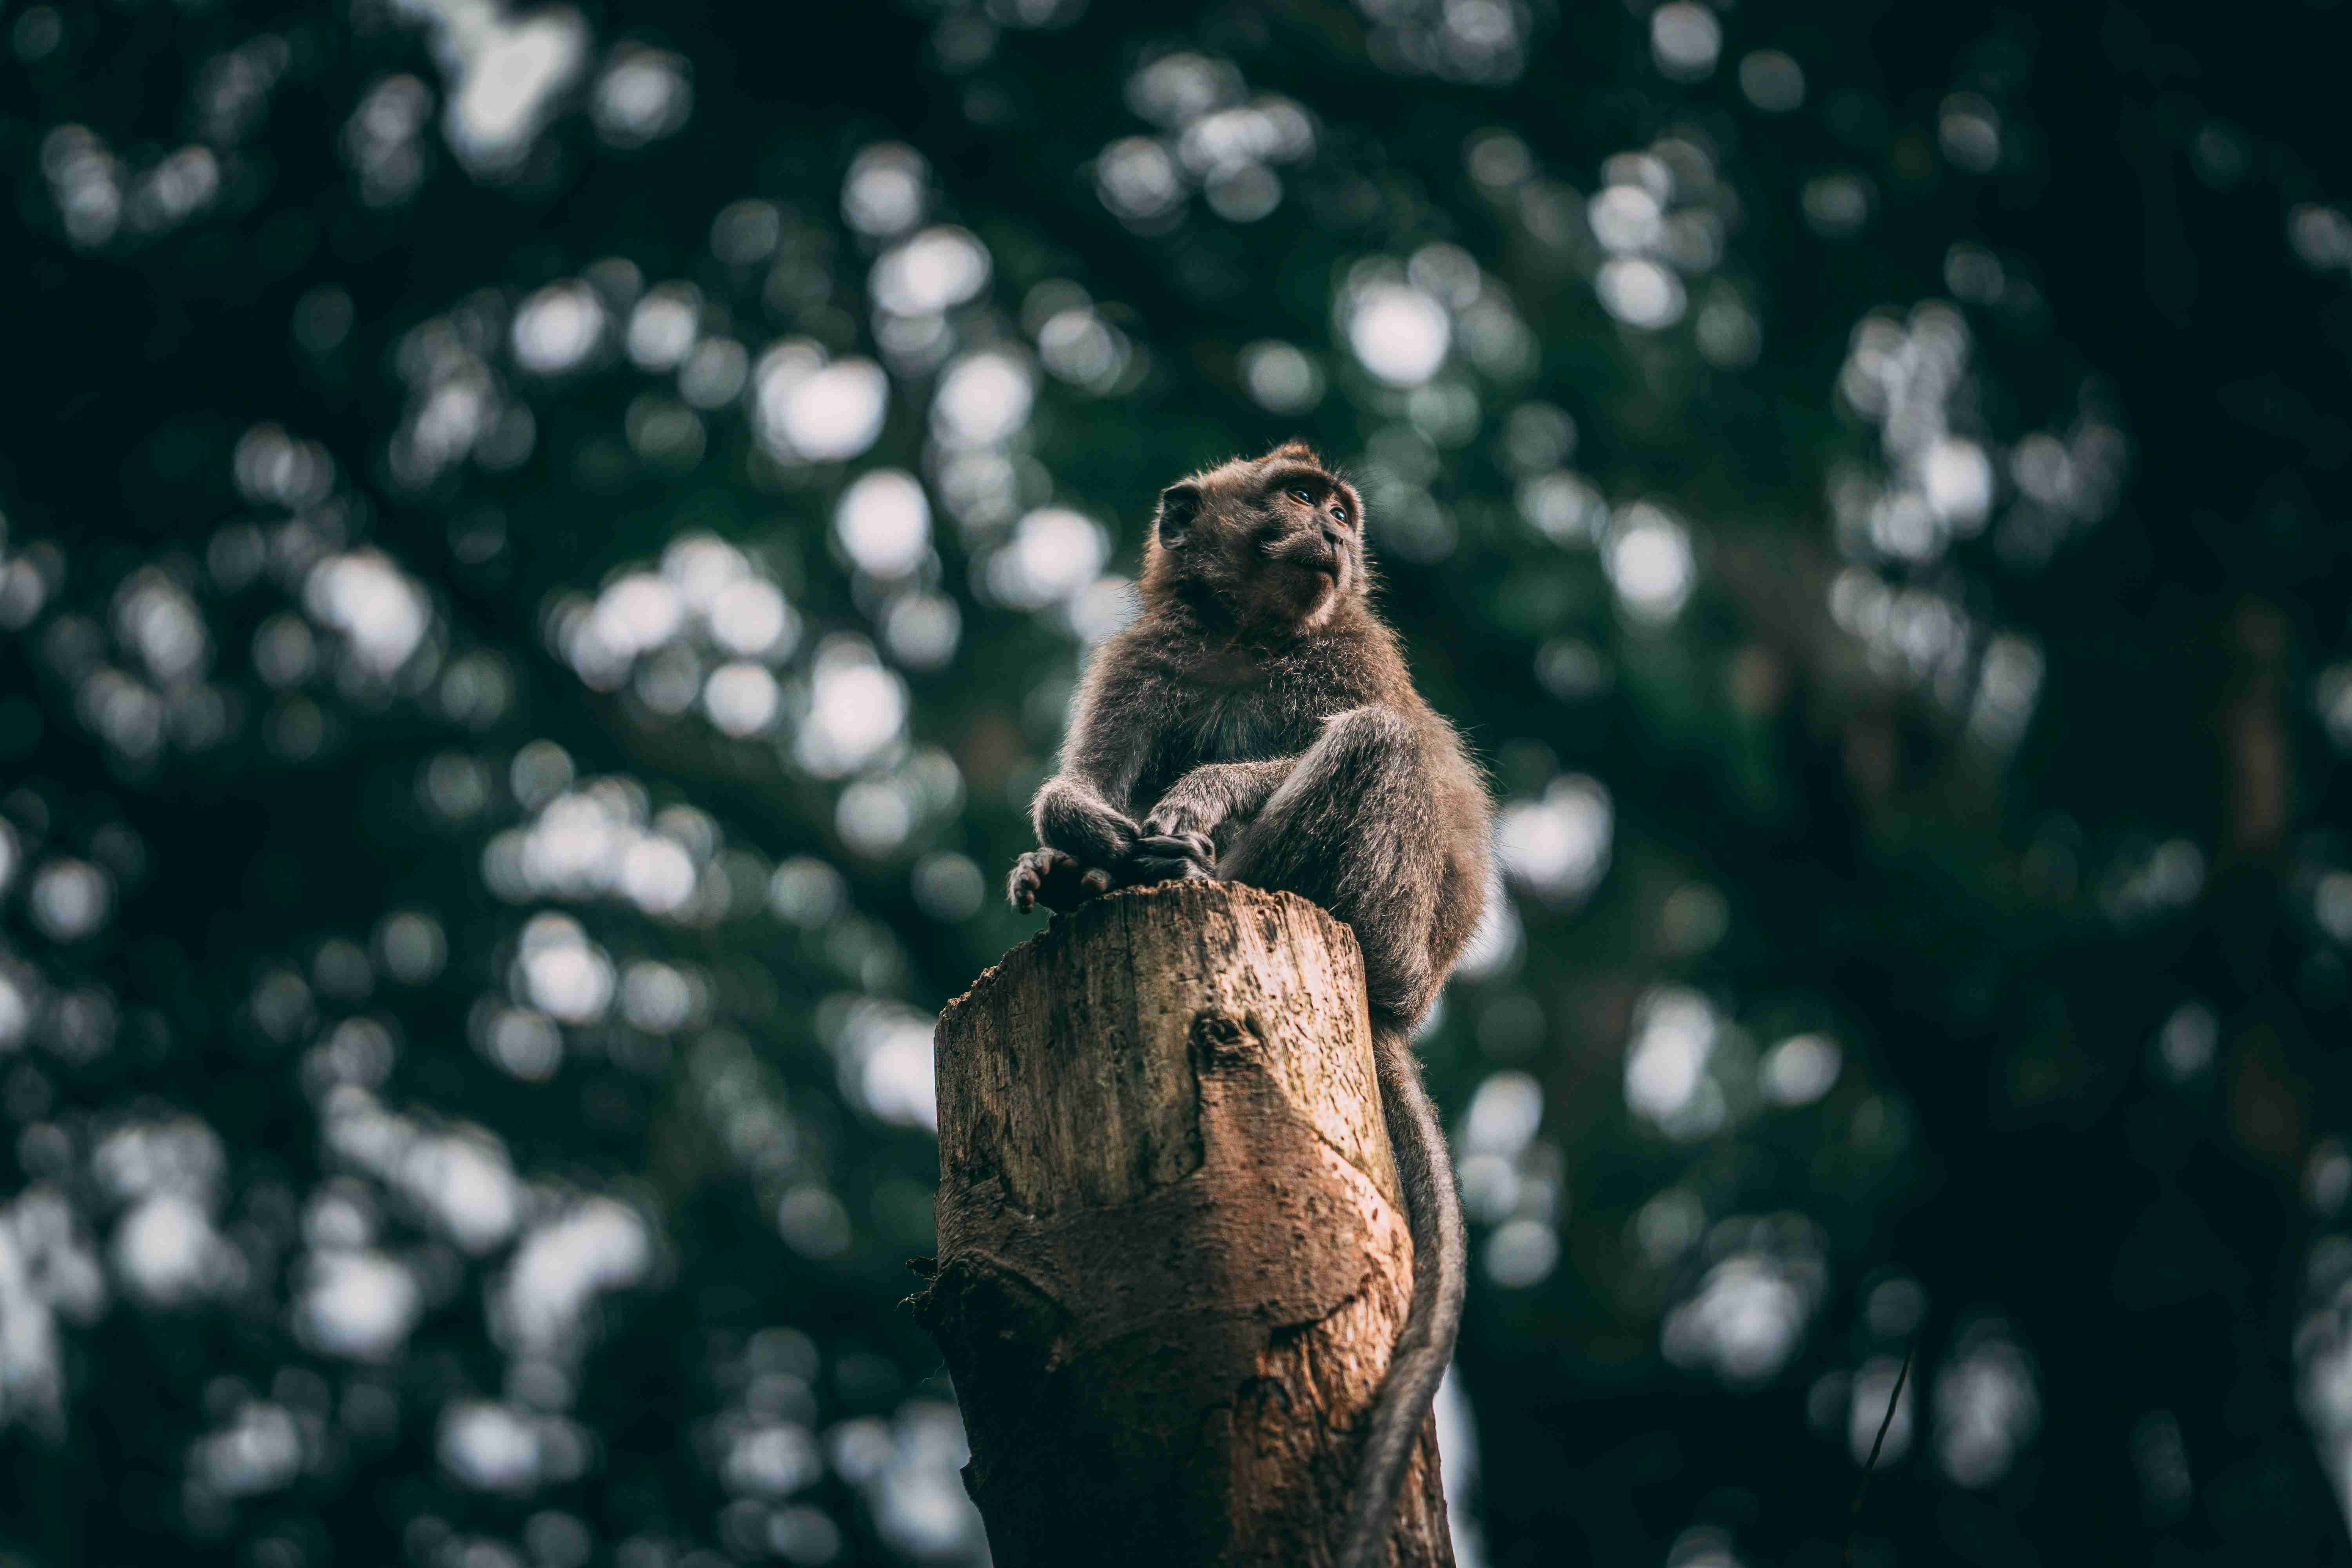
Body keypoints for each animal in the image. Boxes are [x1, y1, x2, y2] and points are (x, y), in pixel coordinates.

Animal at [1007, 441, 1492, 1568]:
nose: (1335, 535)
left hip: (1385, 917)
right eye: (1299, 497)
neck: (1248, 634)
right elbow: (1090, 778)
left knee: (1378, 743)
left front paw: (1197, 801)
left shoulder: (1349, 650)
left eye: (1339, 511)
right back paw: (1086, 880)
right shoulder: (1146, 658)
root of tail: (1403, 1000)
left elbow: (1366, 727)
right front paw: (1072, 834)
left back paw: (1183, 869)